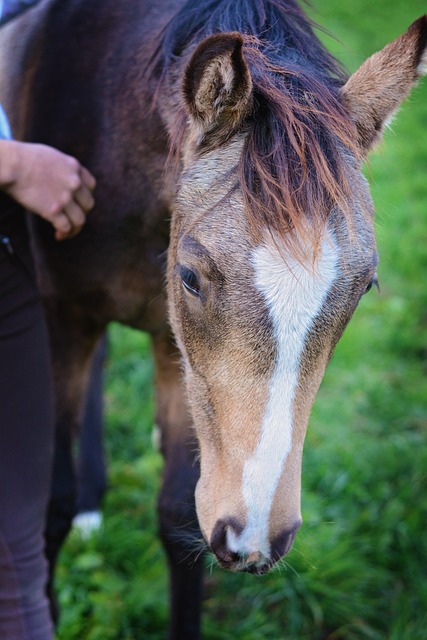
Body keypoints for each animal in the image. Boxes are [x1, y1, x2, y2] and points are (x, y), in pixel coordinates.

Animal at [0, 0, 426, 636]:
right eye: (190, 277)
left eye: (365, 286)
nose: (256, 538)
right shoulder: (62, 317)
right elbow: (49, 505)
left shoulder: (173, 346)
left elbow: (178, 515)